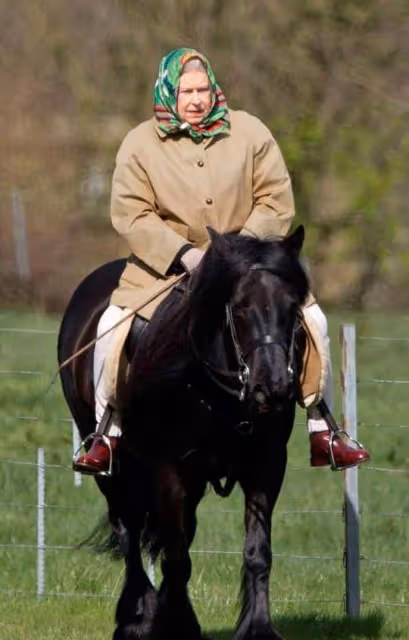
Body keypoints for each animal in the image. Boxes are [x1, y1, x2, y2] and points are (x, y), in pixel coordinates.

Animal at [57, 225, 309, 640]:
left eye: (293, 306)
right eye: (240, 306)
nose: (271, 387)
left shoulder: (266, 465)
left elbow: (257, 551)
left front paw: (258, 628)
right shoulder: (168, 469)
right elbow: (175, 554)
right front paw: (177, 624)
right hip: (111, 466)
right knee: (128, 529)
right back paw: (137, 617)